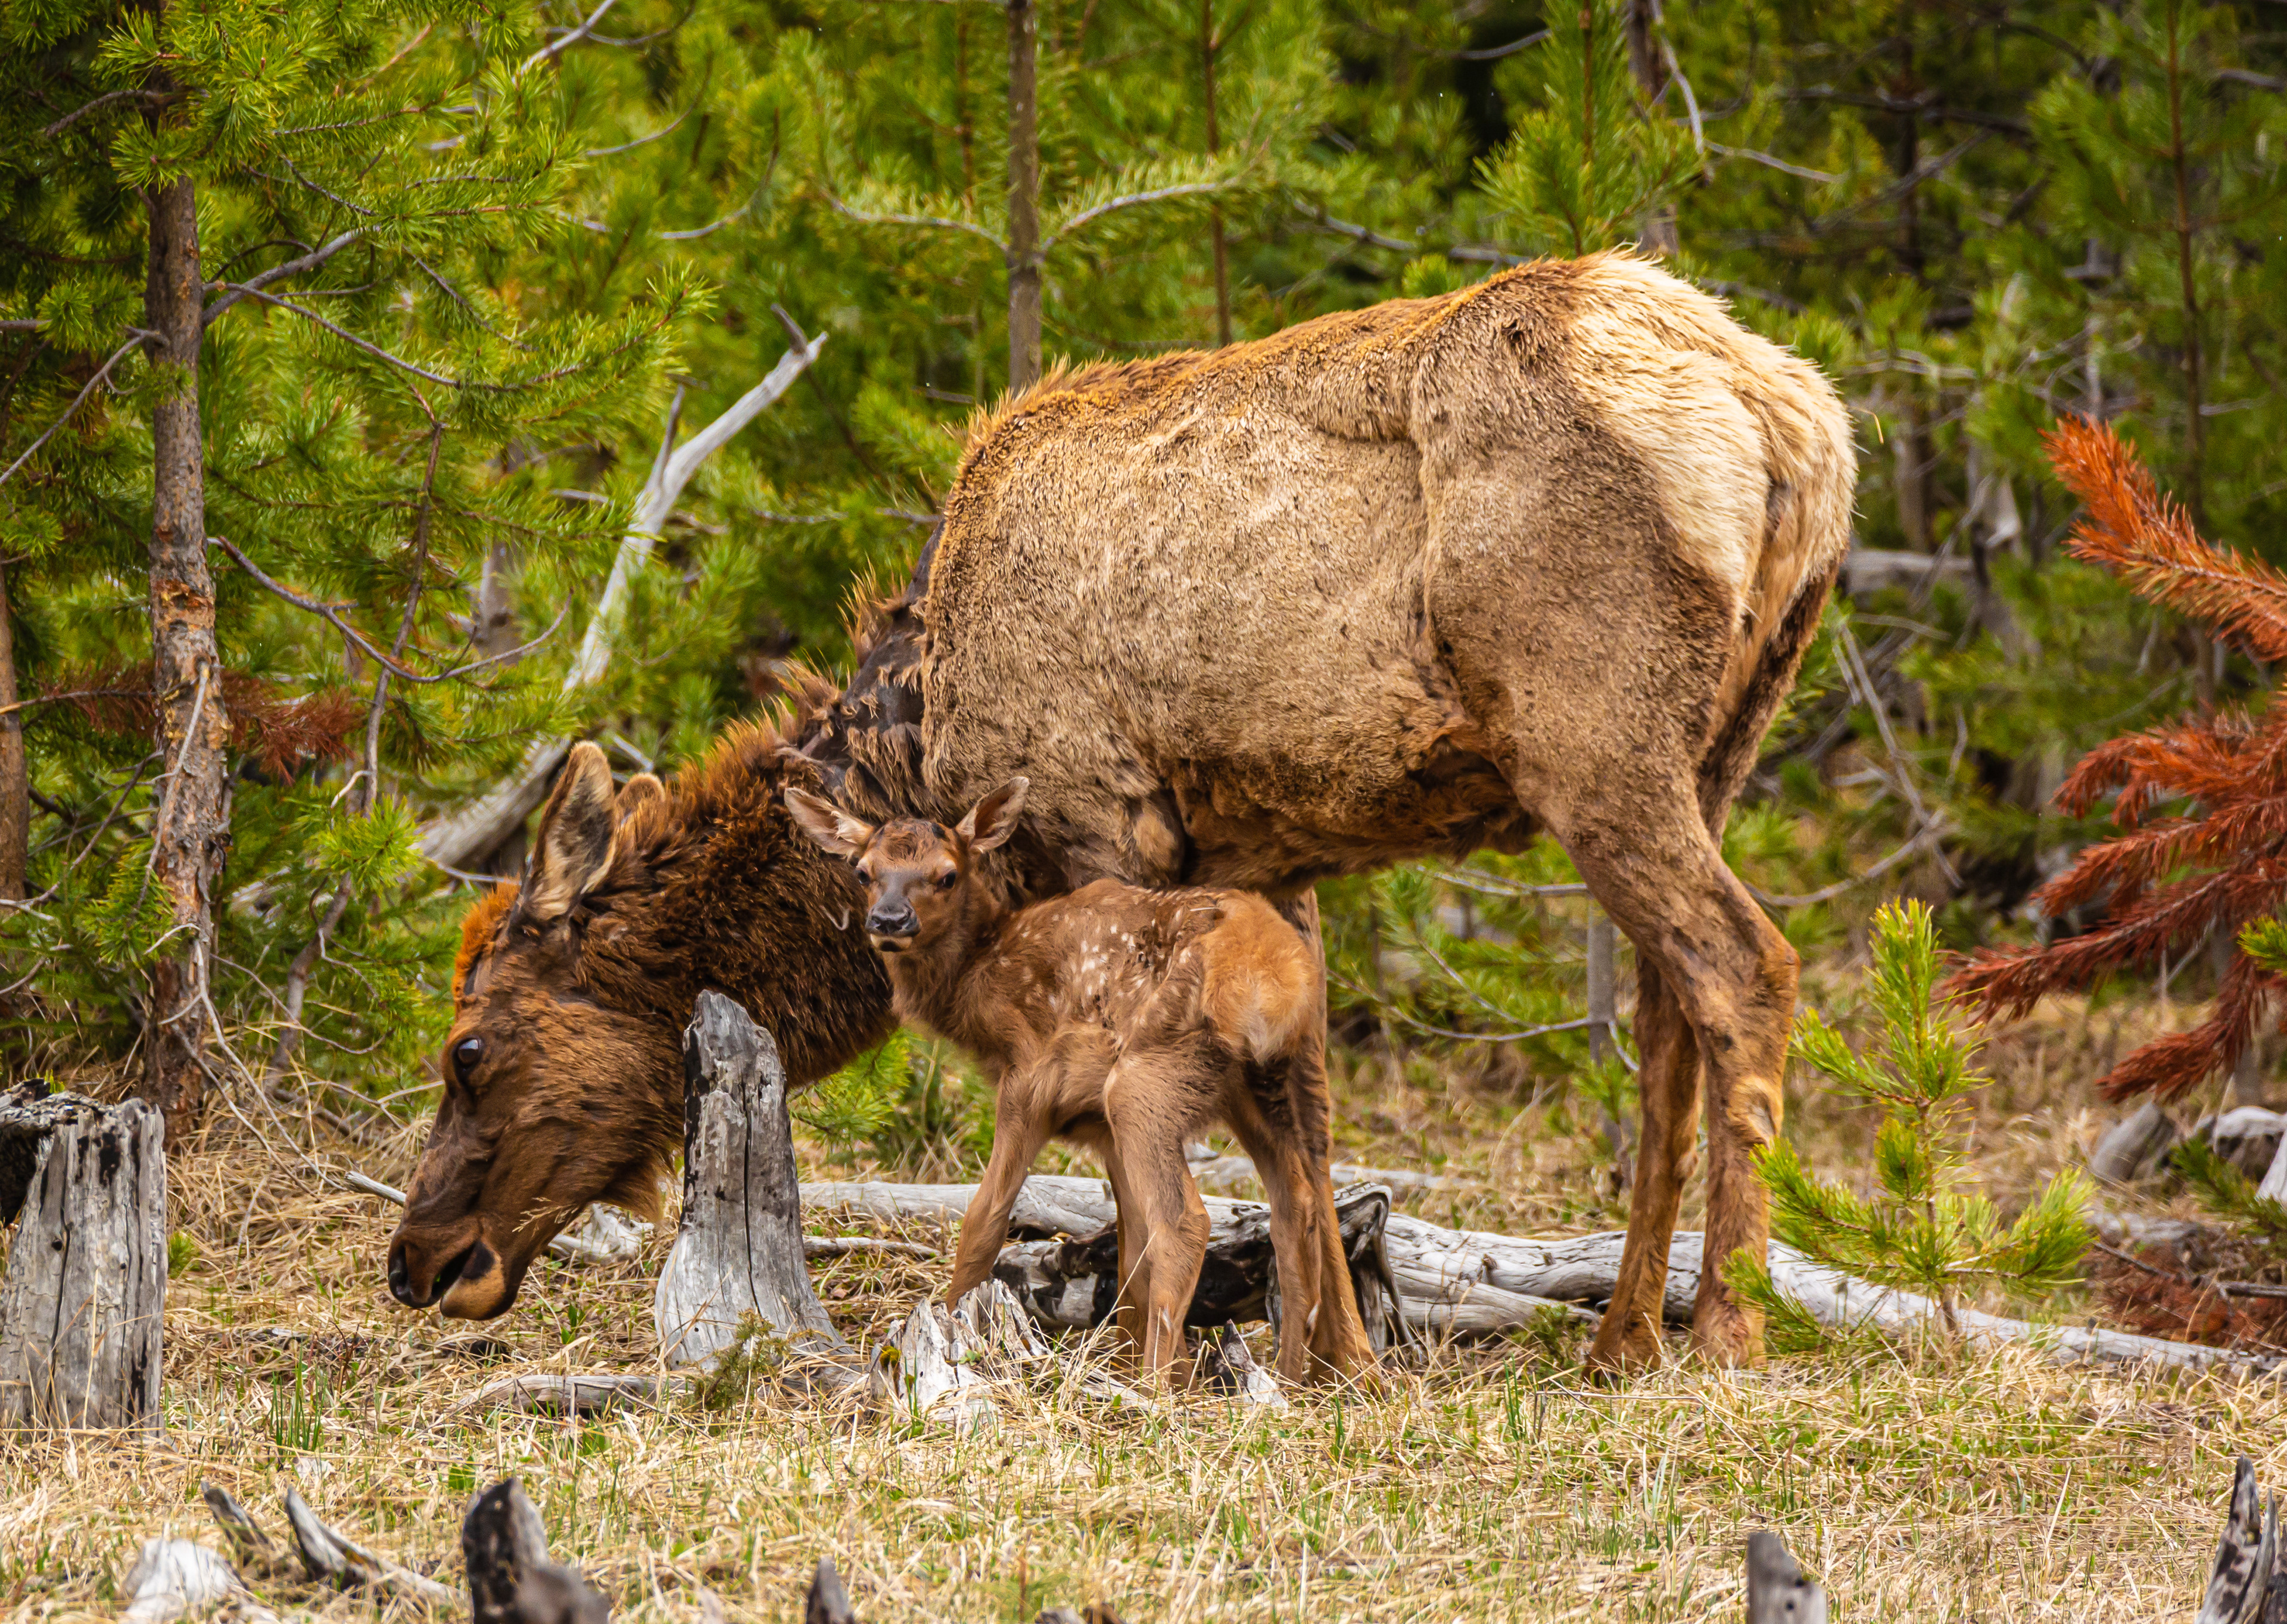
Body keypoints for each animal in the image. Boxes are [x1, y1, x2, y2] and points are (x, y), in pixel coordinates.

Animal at [782, 775, 1372, 1385]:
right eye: (863, 871)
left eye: (947, 874)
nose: (890, 921)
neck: (982, 986)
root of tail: (1279, 978)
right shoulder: (1101, 1129)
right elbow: (1130, 1247)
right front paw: (1135, 1353)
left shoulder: (1031, 1078)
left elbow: (984, 1221)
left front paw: (951, 1328)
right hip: (1260, 1082)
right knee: (1295, 1203)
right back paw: (1287, 1373)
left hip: (1147, 1081)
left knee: (1187, 1220)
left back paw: (1159, 1386)